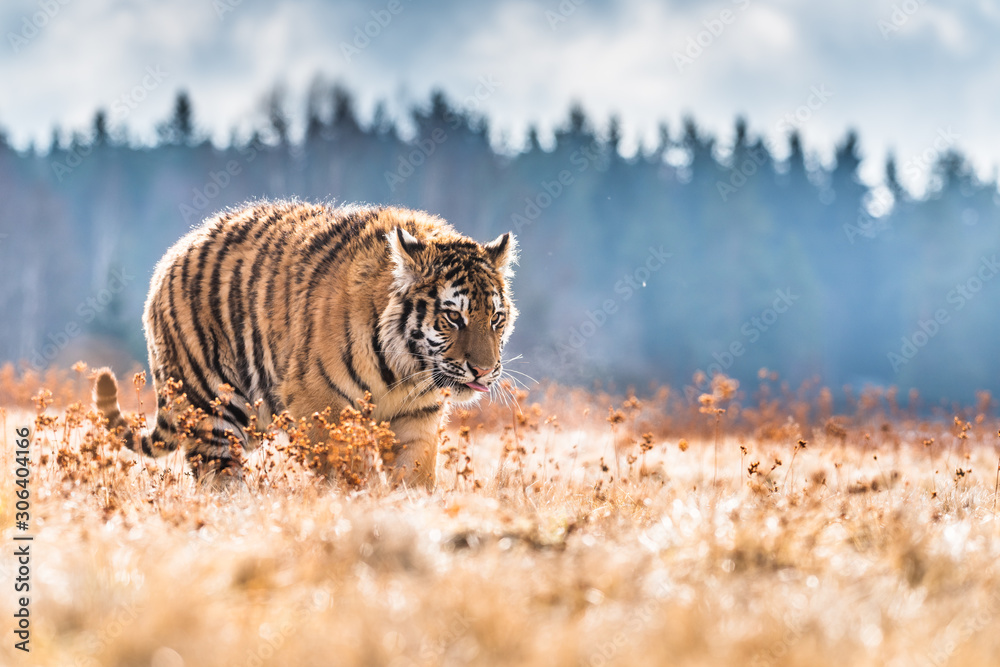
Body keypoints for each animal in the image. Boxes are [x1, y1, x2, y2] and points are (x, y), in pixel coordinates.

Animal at [93, 200, 518, 489]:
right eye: (453, 317)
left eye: (495, 318)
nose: (483, 370)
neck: (405, 371)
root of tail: (170, 257)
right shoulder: (320, 404)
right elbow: (347, 472)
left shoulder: (418, 418)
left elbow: (414, 477)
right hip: (213, 407)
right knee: (218, 480)